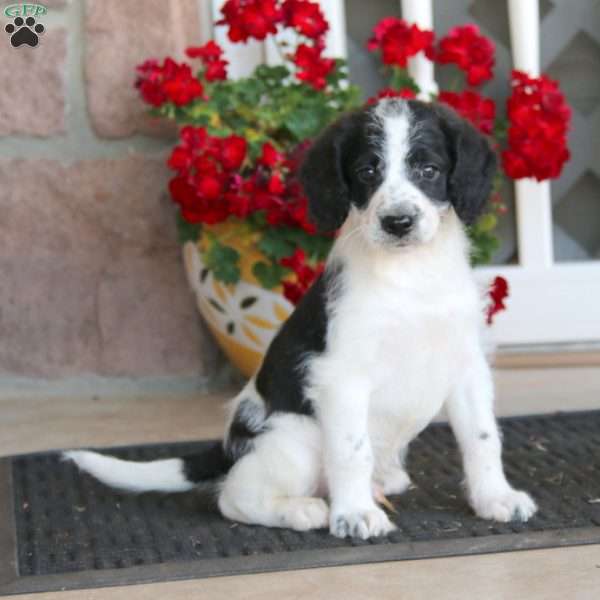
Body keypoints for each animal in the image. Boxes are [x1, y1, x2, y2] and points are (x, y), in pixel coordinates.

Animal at [68, 98, 536, 540]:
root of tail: (230, 444)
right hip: (296, 442)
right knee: (235, 496)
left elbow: (482, 438)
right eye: (367, 171)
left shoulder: (466, 367)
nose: (398, 222)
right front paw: (355, 514)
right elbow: (351, 449)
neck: (410, 276)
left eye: (429, 169)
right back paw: (303, 510)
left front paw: (495, 498)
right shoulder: (342, 376)